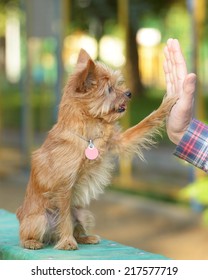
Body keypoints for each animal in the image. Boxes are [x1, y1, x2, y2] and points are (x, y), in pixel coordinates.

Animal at [16, 48, 177, 249]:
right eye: (109, 89)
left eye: (118, 84)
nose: (129, 93)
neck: (89, 135)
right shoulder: (64, 187)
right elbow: (65, 218)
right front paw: (67, 242)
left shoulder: (120, 141)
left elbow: (145, 123)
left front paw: (166, 105)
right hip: (39, 219)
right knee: (28, 234)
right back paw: (33, 242)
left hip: (83, 213)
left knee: (76, 225)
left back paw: (85, 237)